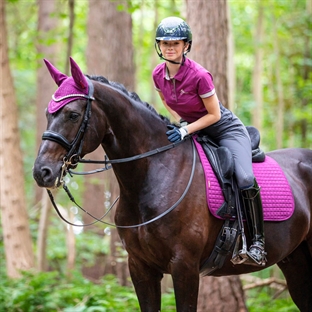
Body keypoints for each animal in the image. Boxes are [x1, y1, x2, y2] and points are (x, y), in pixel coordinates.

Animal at [33, 57, 310, 310]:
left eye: (73, 115)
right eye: (47, 113)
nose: (41, 172)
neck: (154, 175)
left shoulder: (184, 266)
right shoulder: (140, 267)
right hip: (295, 262)